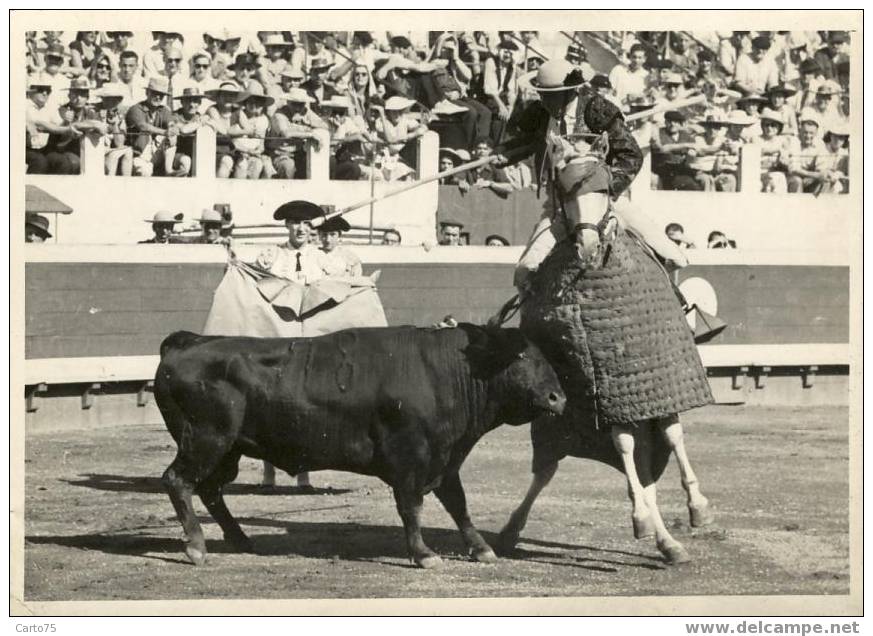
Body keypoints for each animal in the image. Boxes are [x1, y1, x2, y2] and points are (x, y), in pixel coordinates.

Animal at [155, 326, 564, 568]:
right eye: (521, 357)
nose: (558, 398)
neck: (448, 372)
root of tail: (186, 342)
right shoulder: (411, 458)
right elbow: (411, 507)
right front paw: (423, 554)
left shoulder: (445, 459)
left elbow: (458, 504)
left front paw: (481, 549)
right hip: (207, 438)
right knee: (178, 480)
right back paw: (196, 547)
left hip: (228, 450)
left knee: (210, 489)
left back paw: (239, 539)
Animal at [498, 152, 716, 564]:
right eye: (565, 192)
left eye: (603, 189)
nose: (586, 244)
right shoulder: (613, 399)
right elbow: (624, 444)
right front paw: (641, 519)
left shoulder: (660, 394)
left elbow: (674, 435)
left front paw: (698, 507)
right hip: (556, 428)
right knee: (551, 470)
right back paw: (510, 530)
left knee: (644, 475)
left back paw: (669, 543)